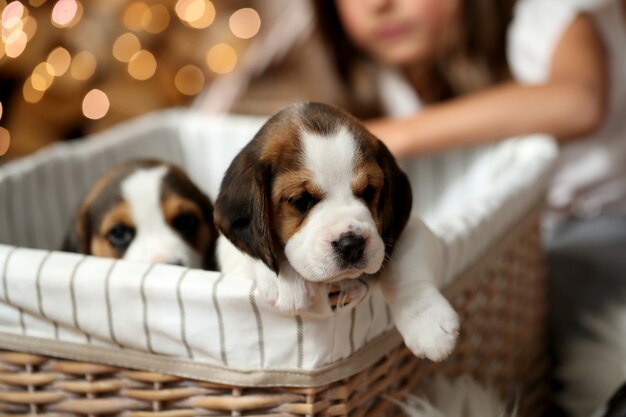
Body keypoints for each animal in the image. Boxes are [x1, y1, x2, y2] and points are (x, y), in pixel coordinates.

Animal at [214, 103, 458, 360]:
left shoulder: (409, 228)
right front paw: (288, 280)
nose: (351, 245)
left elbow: (405, 267)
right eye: (301, 201)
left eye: (369, 191)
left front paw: (428, 324)